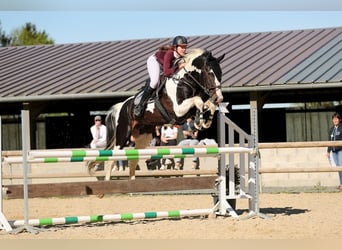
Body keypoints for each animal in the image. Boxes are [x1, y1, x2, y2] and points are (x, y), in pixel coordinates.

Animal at [88, 47, 224, 180]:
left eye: (220, 73)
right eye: (210, 73)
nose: (219, 98)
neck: (185, 81)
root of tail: (122, 106)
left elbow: (207, 104)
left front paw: (204, 121)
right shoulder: (178, 109)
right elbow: (198, 100)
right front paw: (199, 121)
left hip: (143, 138)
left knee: (133, 161)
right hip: (123, 134)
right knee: (112, 160)